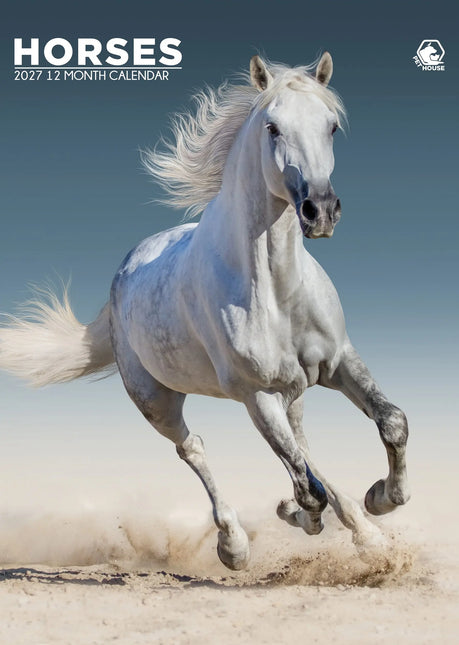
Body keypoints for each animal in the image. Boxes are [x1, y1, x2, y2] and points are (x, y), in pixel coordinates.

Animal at [0, 53, 410, 570]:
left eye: (331, 126)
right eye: (273, 127)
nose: (320, 211)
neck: (275, 289)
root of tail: (123, 272)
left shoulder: (338, 361)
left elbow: (391, 423)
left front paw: (381, 499)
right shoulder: (257, 395)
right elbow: (306, 485)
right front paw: (304, 515)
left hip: (293, 390)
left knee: (302, 446)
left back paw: (364, 532)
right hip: (157, 401)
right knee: (194, 448)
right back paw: (234, 545)